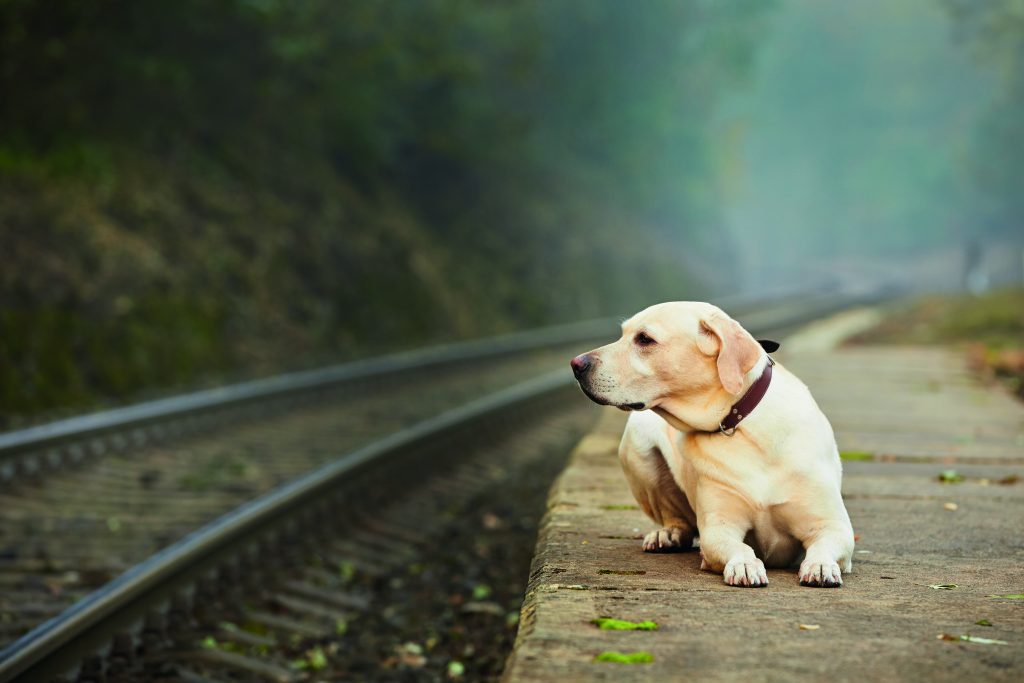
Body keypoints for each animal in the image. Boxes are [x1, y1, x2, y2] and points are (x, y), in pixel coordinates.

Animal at [573, 303, 851, 589]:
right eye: (623, 334)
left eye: (644, 339)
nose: (576, 364)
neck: (740, 423)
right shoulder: (718, 528)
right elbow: (740, 547)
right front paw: (744, 565)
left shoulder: (833, 526)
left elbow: (825, 545)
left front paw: (820, 566)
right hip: (637, 442)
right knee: (675, 516)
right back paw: (668, 534)